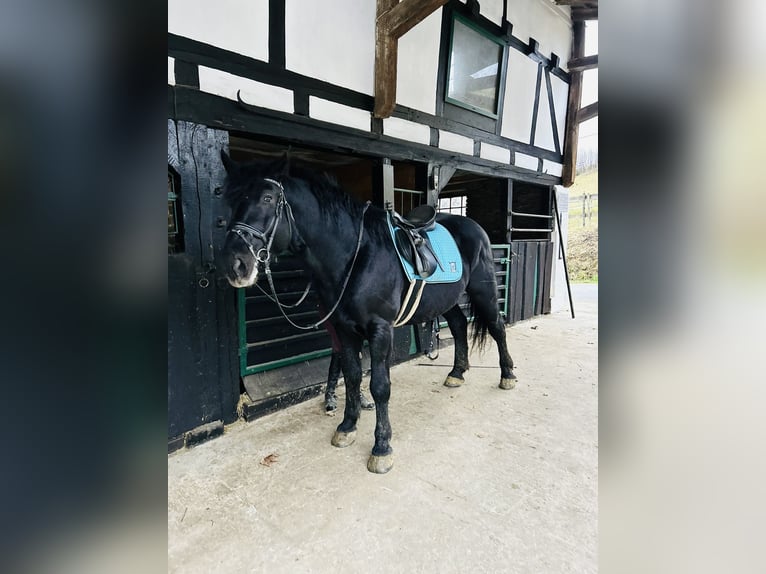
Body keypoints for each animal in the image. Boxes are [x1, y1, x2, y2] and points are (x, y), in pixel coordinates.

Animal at [219, 151, 520, 474]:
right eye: (231, 199)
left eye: (267, 197)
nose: (234, 264)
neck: (356, 254)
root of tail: (474, 227)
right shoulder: (343, 329)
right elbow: (351, 377)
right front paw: (347, 427)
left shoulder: (380, 329)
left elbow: (379, 386)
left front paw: (382, 447)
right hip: (448, 300)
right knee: (461, 325)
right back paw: (456, 373)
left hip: (484, 291)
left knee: (497, 327)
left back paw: (507, 375)